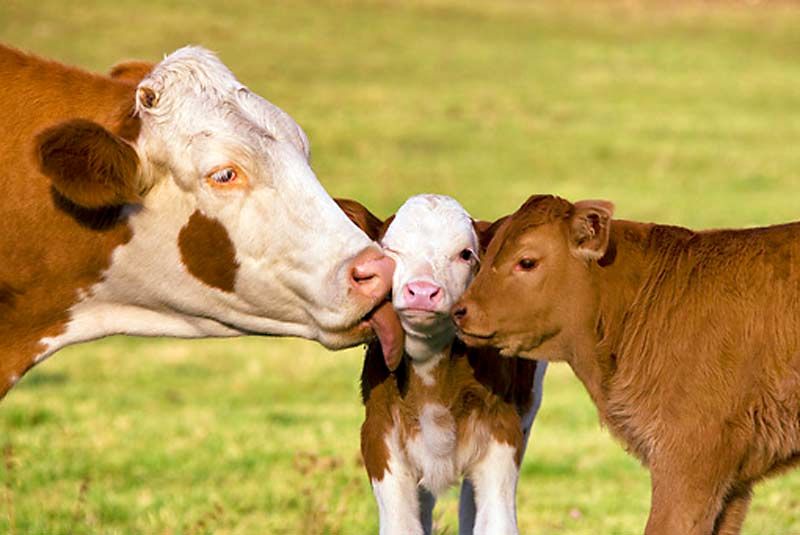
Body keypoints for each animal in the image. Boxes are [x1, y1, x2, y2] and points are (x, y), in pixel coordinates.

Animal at [344, 196, 552, 535]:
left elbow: (495, 521)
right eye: (389, 251)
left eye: (465, 254)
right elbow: (402, 525)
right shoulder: (379, 436)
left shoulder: (503, 433)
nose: (422, 291)